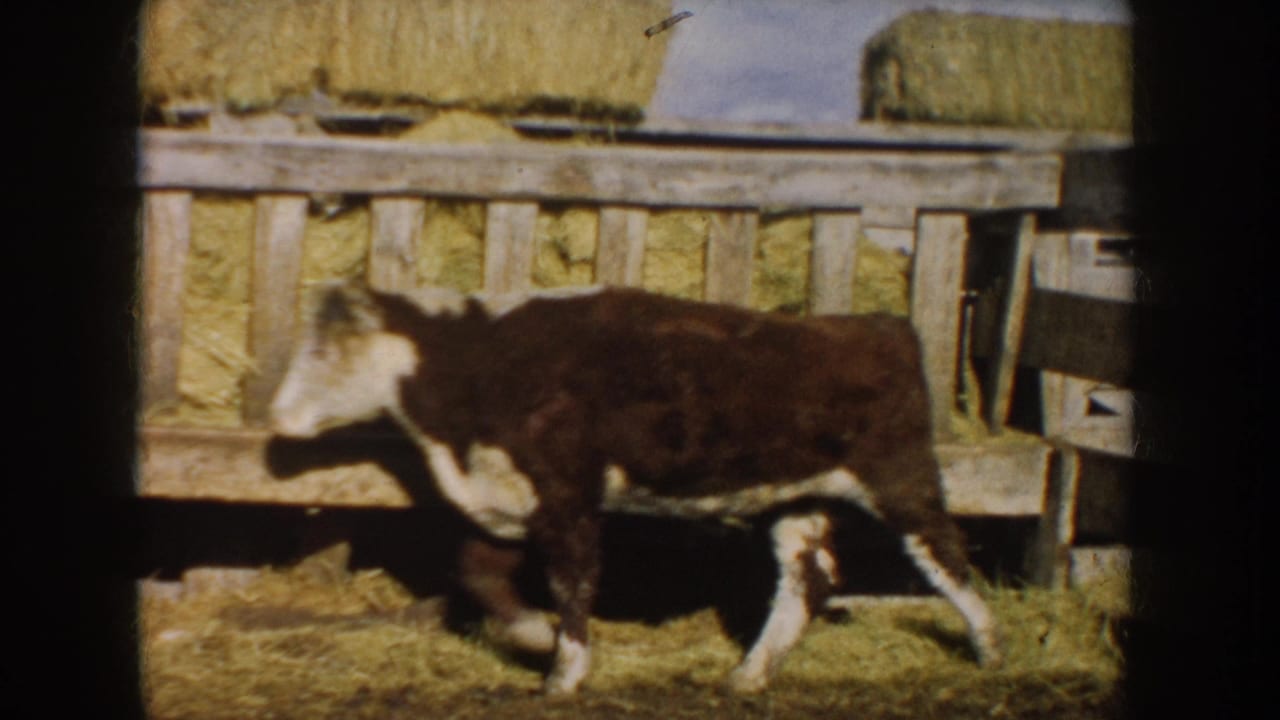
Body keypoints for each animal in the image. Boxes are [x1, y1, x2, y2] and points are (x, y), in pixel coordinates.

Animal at [269, 280, 1003, 695]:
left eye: (325, 350)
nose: (278, 415)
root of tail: (875, 324)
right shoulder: (506, 500)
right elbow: (479, 575)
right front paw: (533, 637)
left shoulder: (568, 495)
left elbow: (572, 581)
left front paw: (564, 675)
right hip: (797, 498)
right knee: (807, 580)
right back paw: (748, 677)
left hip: (901, 480)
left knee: (946, 556)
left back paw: (990, 646)